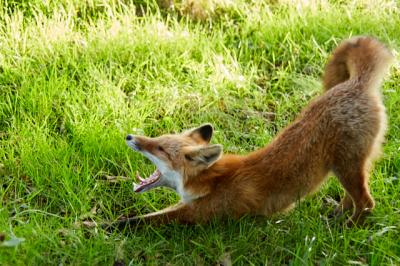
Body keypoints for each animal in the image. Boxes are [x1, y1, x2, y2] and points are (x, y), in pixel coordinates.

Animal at [120, 35, 392, 227]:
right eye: (157, 138)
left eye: (160, 148)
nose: (129, 137)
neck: (212, 180)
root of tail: (356, 83)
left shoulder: (199, 214)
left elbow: (135, 222)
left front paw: (109, 230)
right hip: (348, 167)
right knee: (354, 197)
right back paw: (338, 213)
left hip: (347, 166)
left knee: (367, 203)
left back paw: (347, 227)